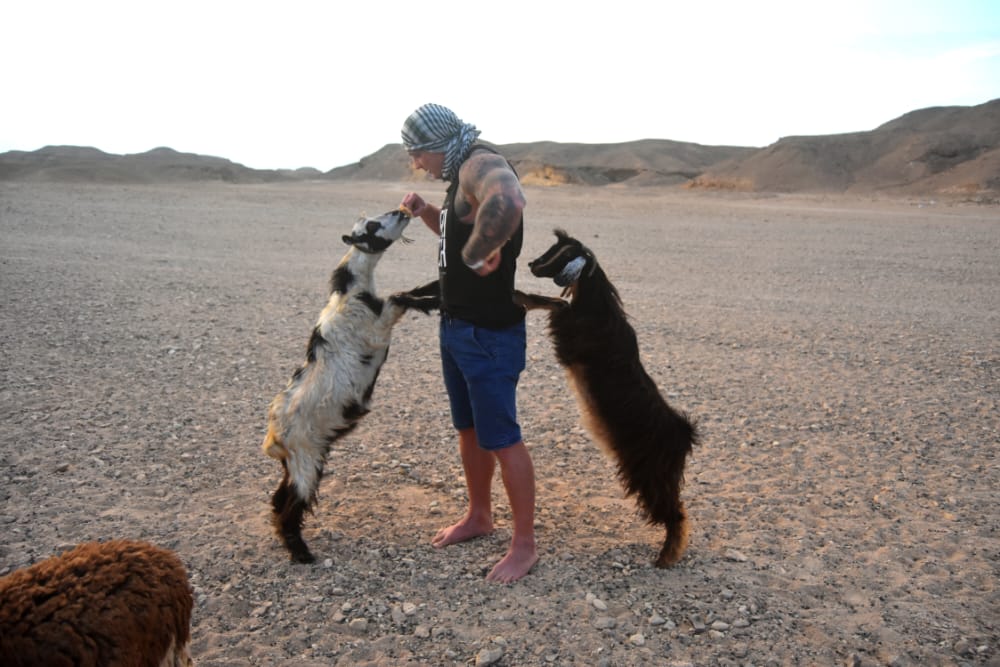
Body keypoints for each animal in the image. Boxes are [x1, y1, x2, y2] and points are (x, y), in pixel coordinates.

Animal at [262, 209, 438, 564]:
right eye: (371, 226)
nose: (401, 211)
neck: (351, 293)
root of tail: (275, 438)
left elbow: (409, 291)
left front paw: (437, 286)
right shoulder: (378, 327)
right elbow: (401, 297)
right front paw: (437, 297)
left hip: (296, 463)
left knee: (279, 498)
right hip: (306, 460)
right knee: (291, 507)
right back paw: (302, 553)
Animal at [516, 230, 696, 568]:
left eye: (560, 255)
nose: (532, 263)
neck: (596, 307)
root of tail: (681, 434)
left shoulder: (570, 339)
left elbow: (558, 305)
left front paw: (521, 295)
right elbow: (559, 302)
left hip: (647, 474)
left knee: (674, 513)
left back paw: (666, 556)